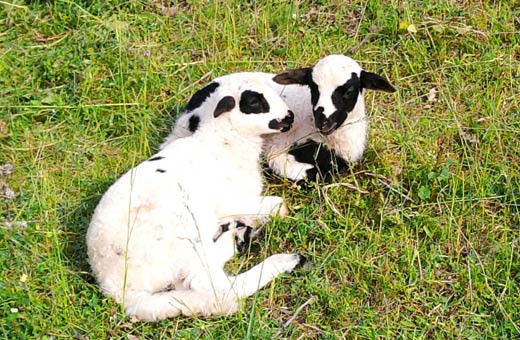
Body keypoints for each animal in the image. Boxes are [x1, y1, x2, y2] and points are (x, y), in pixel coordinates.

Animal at [88, 77, 304, 322]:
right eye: (254, 102)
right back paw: (285, 260)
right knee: (215, 285)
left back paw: (237, 238)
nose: (290, 116)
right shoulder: (230, 201)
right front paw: (278, 210)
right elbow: (274, 205)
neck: (224, 141)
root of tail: (117, 287)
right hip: (183, 240)